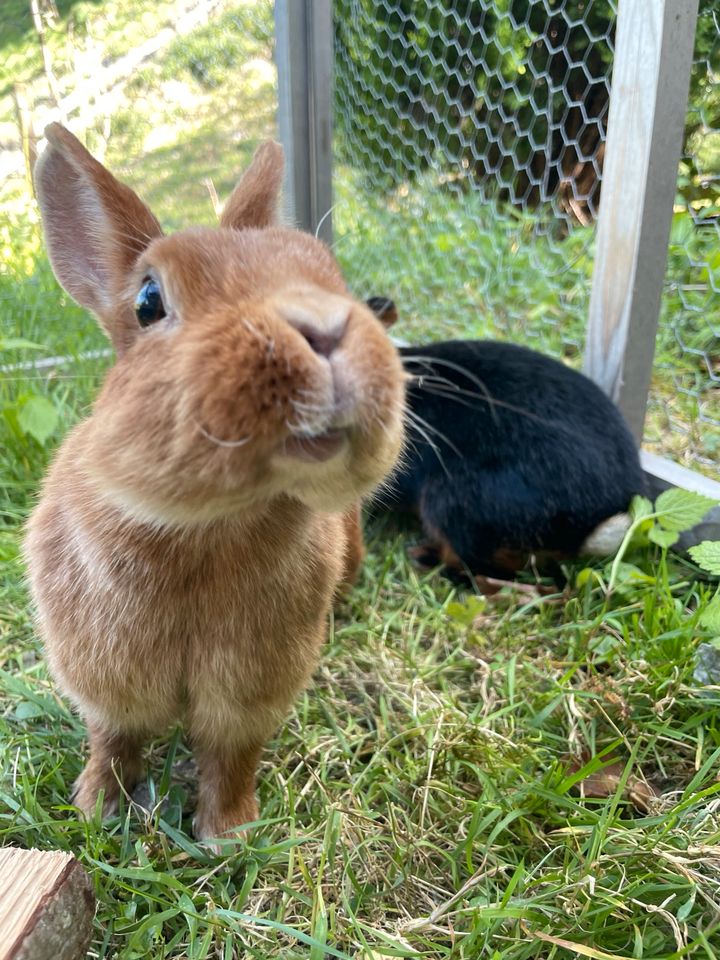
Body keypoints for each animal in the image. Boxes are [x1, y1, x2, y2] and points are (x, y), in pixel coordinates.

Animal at [23, 124, 404, 844]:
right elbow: (113, 738)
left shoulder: (249, 688)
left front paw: (228, 832)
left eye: (326, 270)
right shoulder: (103, 675)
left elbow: (232, 753)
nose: (325, 329)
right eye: (148, 302)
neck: (207, 523)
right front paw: (96, 808)